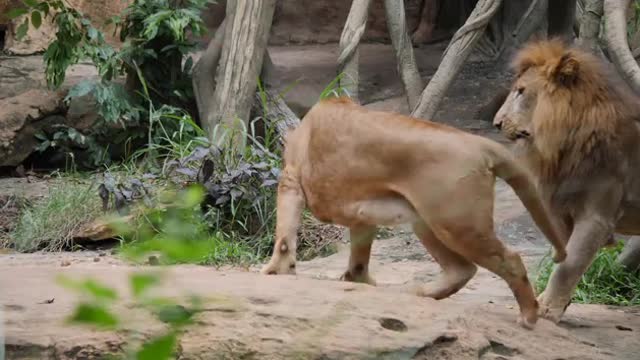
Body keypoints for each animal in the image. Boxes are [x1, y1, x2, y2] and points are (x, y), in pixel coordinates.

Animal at [260, 95, 564, 330]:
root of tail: (481, 145)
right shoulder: (363, 214)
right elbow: (359, 260)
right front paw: (358, 282)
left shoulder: (290, 180)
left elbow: (284, 237)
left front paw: (274, 271)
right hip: (427, 222)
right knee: (462, 269)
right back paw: (422, 293)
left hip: (457, 223)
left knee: (509, 260)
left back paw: (528, 317)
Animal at [496, 39, 640, 324]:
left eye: (521, 92)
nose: (496, 123)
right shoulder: (562, 210)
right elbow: (563, 258)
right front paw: (551, 304)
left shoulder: (596, 216)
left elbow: (569, 264)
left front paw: (547, 309)